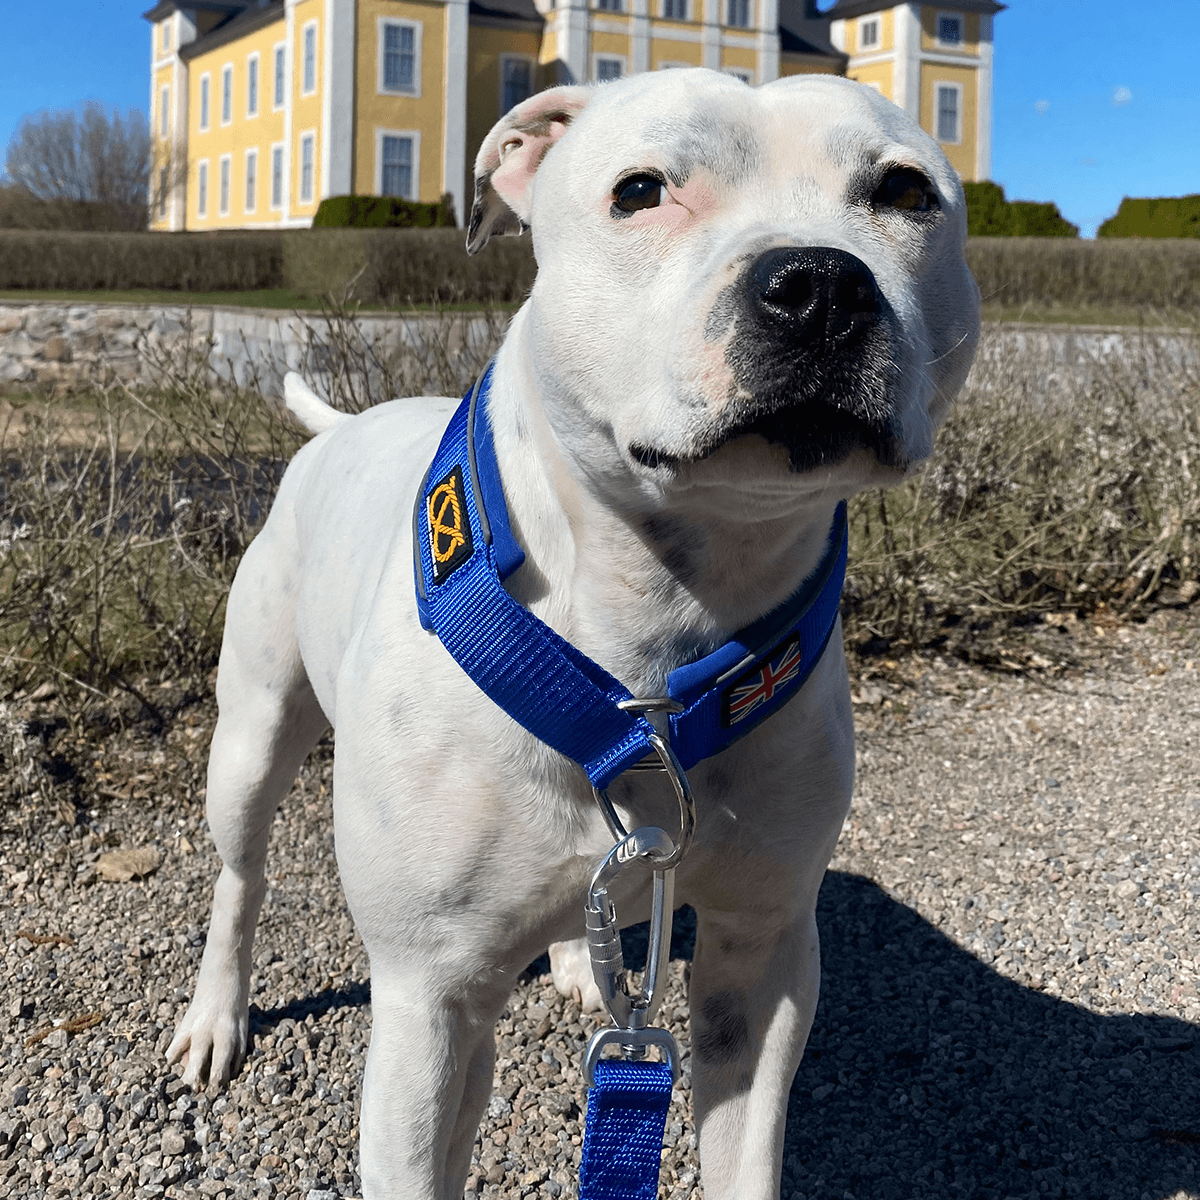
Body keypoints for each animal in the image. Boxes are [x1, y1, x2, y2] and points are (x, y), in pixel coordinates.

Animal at [166, 68, 974, 1200]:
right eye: (640, 191)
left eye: (904, 191)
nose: (819, 283)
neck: (651, 655)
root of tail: (346, 426)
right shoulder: (429, 999)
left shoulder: (763, 959)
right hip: (247, 741)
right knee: (240, 877)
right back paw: (215, 1015)